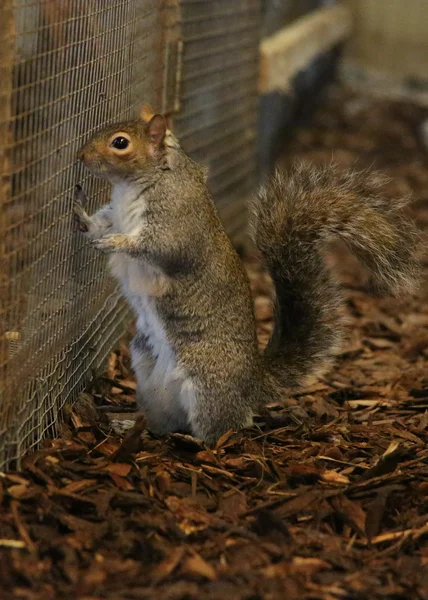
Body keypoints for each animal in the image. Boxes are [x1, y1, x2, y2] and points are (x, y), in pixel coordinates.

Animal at [72, 103, 418, 446]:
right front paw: (80, 214)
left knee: (224, 429)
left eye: (120, 142)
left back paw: (197, 442)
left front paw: (115, 242)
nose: (81, 155)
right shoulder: (115, 214)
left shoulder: (176, 221)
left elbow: (162, 246)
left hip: (207, 383)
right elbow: (98, 224)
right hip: (147, 372)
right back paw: (133, 427)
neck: (142, 181)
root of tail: (252, 385)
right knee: (168, 421)